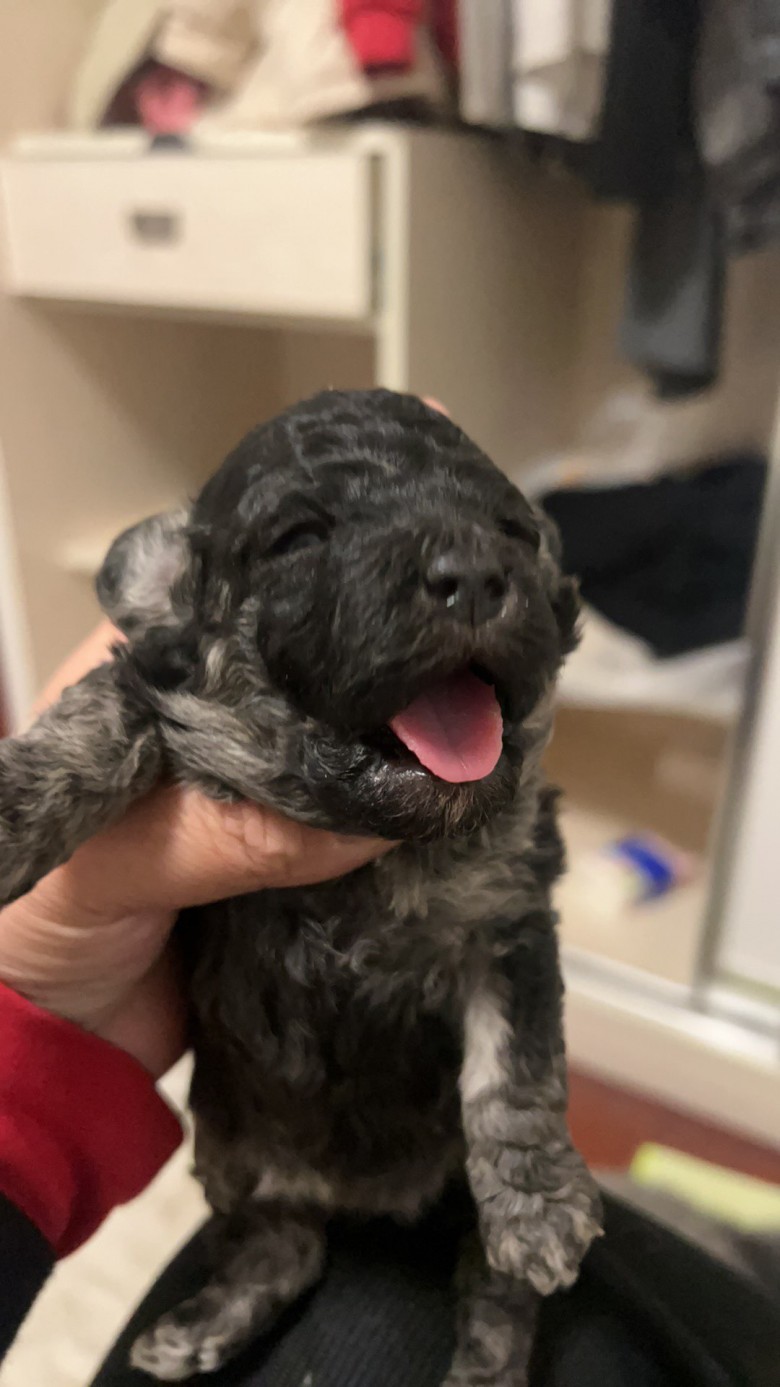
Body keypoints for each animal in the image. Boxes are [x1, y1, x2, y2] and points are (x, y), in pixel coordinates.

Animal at [0, 390, 602, 1384]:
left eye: (513, 531)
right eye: (299, 538)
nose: (477, 573)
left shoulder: (510, 915)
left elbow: (515, 1065)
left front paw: (540, 1204)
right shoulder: (164, 690)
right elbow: (109, 704)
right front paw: (17, 801)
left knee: (492, 1292)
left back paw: (487, 1350)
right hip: (232, 1150)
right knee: (282, 1247)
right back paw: (197, 1329)